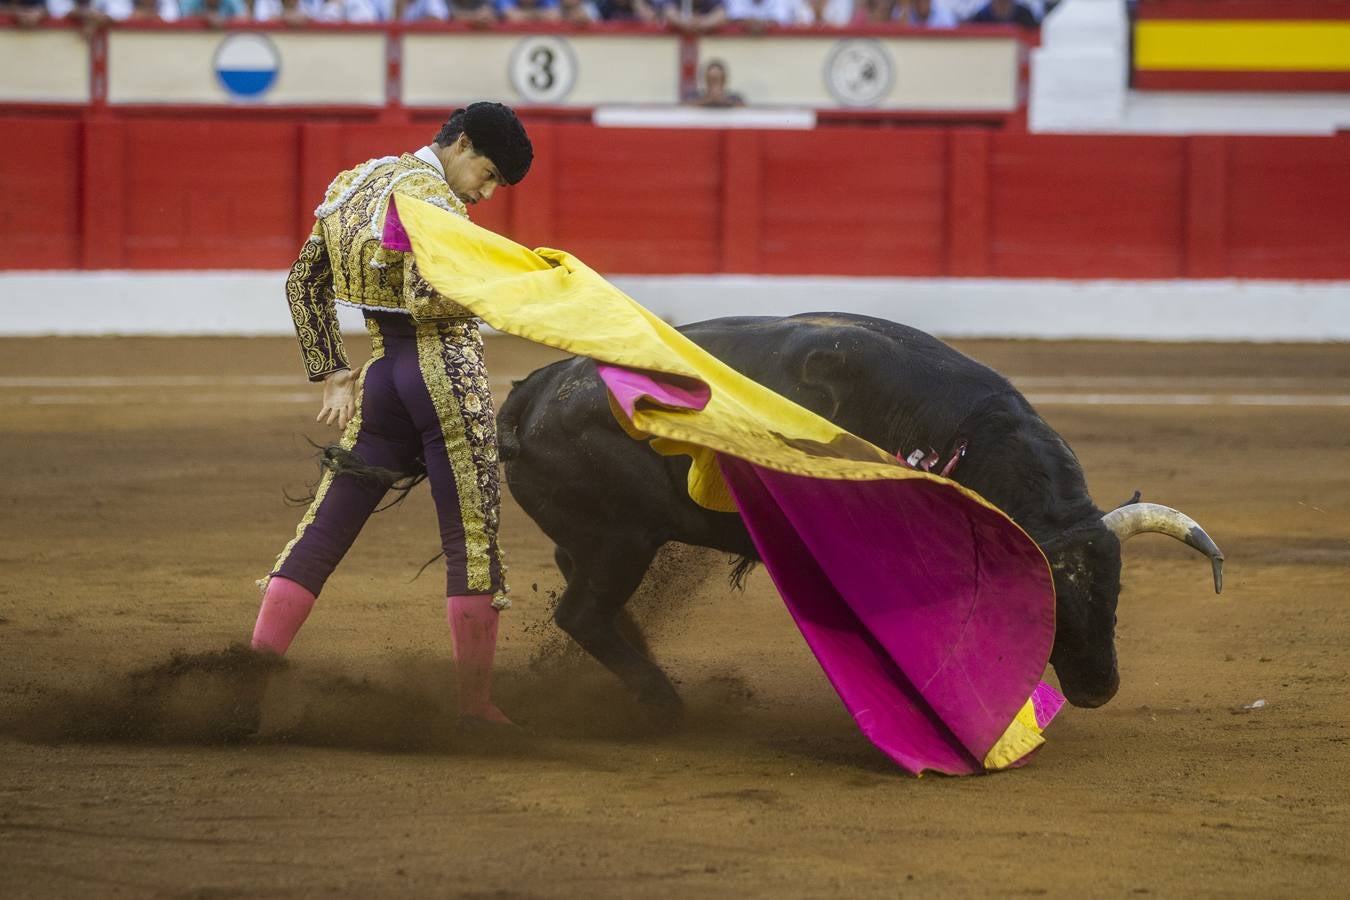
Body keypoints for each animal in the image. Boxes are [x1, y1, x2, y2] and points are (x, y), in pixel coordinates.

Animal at [496, 313, 1225, 712]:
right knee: (582, 614)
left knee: (586, 598)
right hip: (619, 541)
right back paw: (666, 705)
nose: (1099, 685)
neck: (967, 435)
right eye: (1040, 606)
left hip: (605, 542)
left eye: (1116, 592)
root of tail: (532, 393)